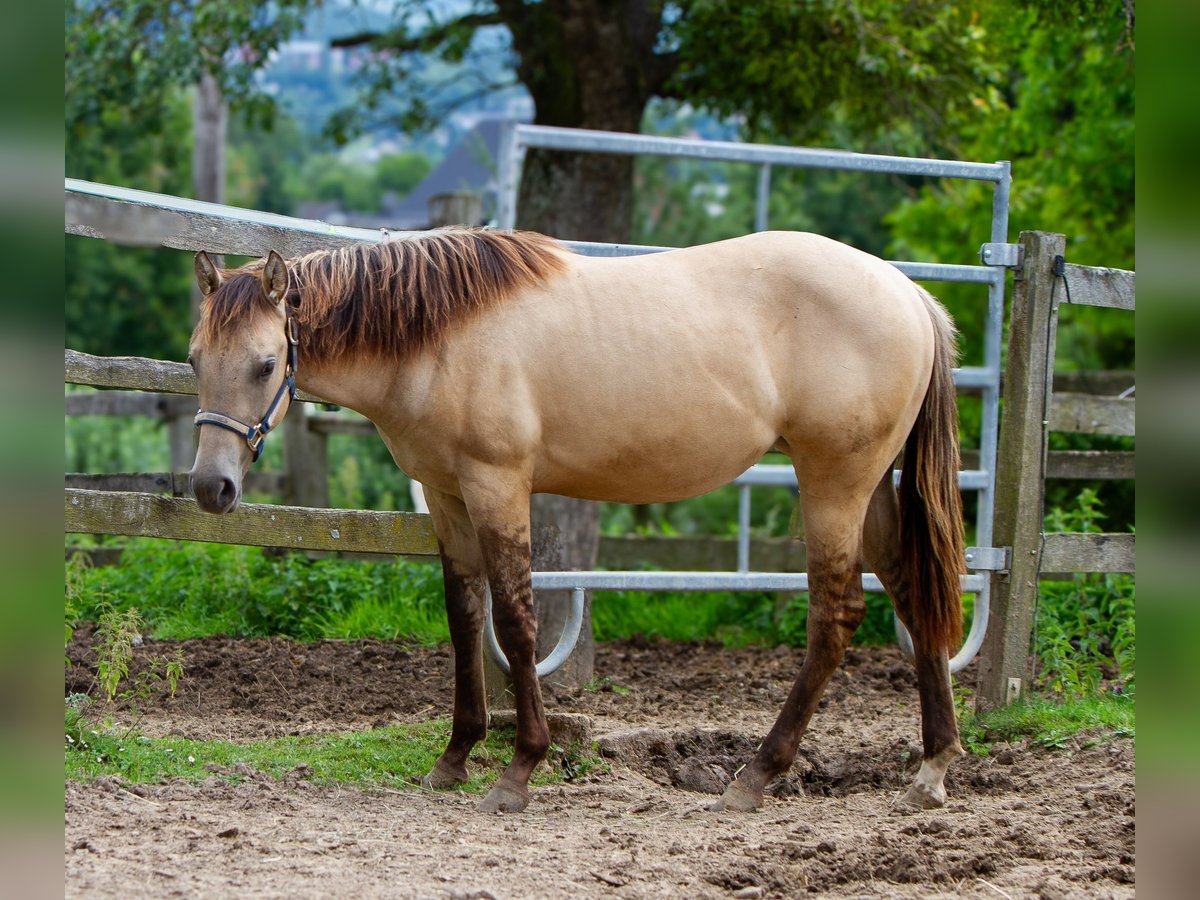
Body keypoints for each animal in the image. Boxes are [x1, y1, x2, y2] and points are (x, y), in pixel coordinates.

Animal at [189, 226, 974, 816]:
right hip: (867, 489)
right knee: (910, 590)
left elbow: (514, 620)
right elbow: (463, 618)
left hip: (833, 484)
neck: (440, 336)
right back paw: (932, 768)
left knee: (834, 616)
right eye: (196, 359)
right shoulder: (446, 496)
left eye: (265, 364)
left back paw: (756, 776)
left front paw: (518, 771)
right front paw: (455, 757)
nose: (210, 487)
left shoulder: (498, 485)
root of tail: (908, 293)